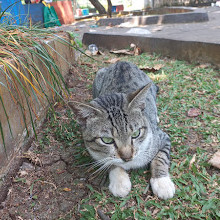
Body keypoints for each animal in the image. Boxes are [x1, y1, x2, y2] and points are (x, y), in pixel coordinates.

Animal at [69, 60, 175, 199]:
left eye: (136, 133)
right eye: (107, 140)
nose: (127, 157)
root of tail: (122, 62)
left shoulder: (161, 137)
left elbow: (161, 157)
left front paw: (162, 182)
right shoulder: (95, 153)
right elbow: (109, 161)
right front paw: (119, 181)